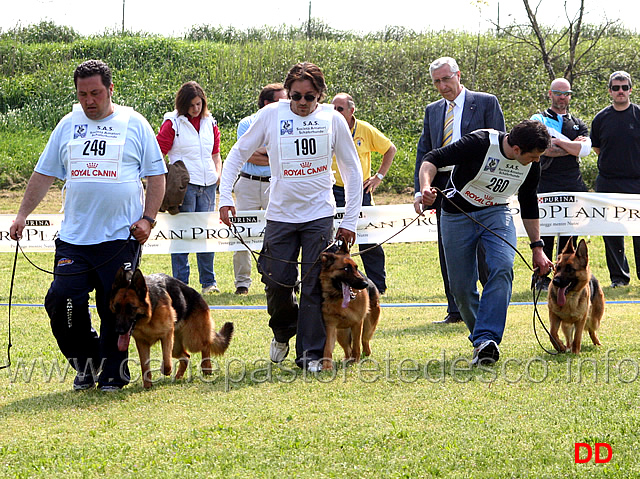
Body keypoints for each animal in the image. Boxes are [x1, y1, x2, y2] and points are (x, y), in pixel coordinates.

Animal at [318, 240, 380, 372]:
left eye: (356, 268)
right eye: (346, 268)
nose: (365, 284)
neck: (340, 298)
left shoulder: (357, 323)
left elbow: (356, 344)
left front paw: (356, 361)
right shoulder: (330, 327)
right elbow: (327, 348)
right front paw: (327, 366)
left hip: (368, 325)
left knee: (364, 341)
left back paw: (362, 355)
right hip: (341, 333)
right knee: (347, 349)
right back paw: (347, 360)